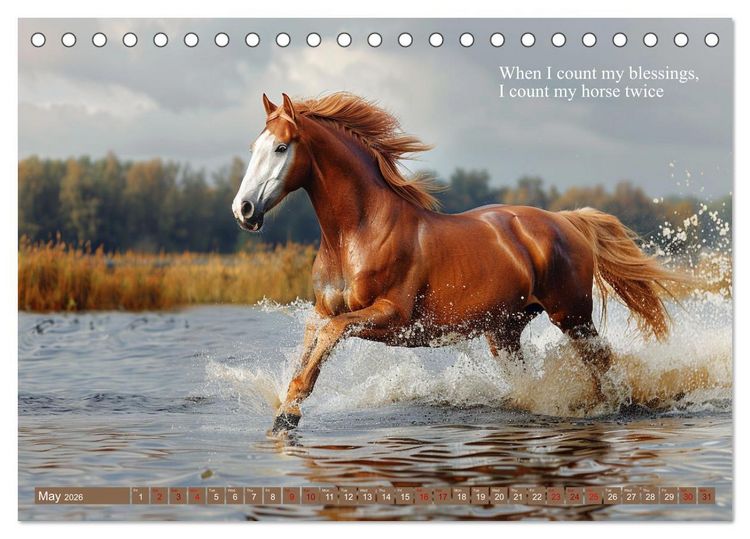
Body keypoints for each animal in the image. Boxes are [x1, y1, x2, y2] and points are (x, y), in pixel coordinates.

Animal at [231, 92, 684, 432]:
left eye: (281, 147)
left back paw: (613, 405)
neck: (354, 235)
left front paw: (290, 414)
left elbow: (330, 335)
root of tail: (566, 220)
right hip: (504, 330)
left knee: (602, 360)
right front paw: (286, 409)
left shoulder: (391, 316)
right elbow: (313, 340)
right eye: (253, 148)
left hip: (572, 314)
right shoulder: (324, 308)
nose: (244, 210)